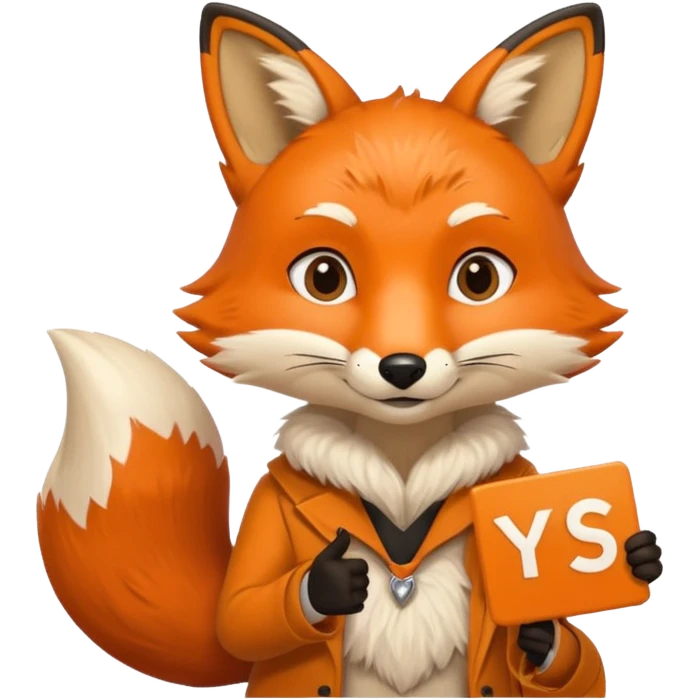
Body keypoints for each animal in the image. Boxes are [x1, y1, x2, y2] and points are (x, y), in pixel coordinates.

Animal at [37, 2, 663, 698]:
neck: (404, 475)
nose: (402, 367)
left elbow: (579, 663)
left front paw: (587, 591)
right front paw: (328, 583)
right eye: (324, 278)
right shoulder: (268, 507)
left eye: (478, 278)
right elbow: (240, 615)